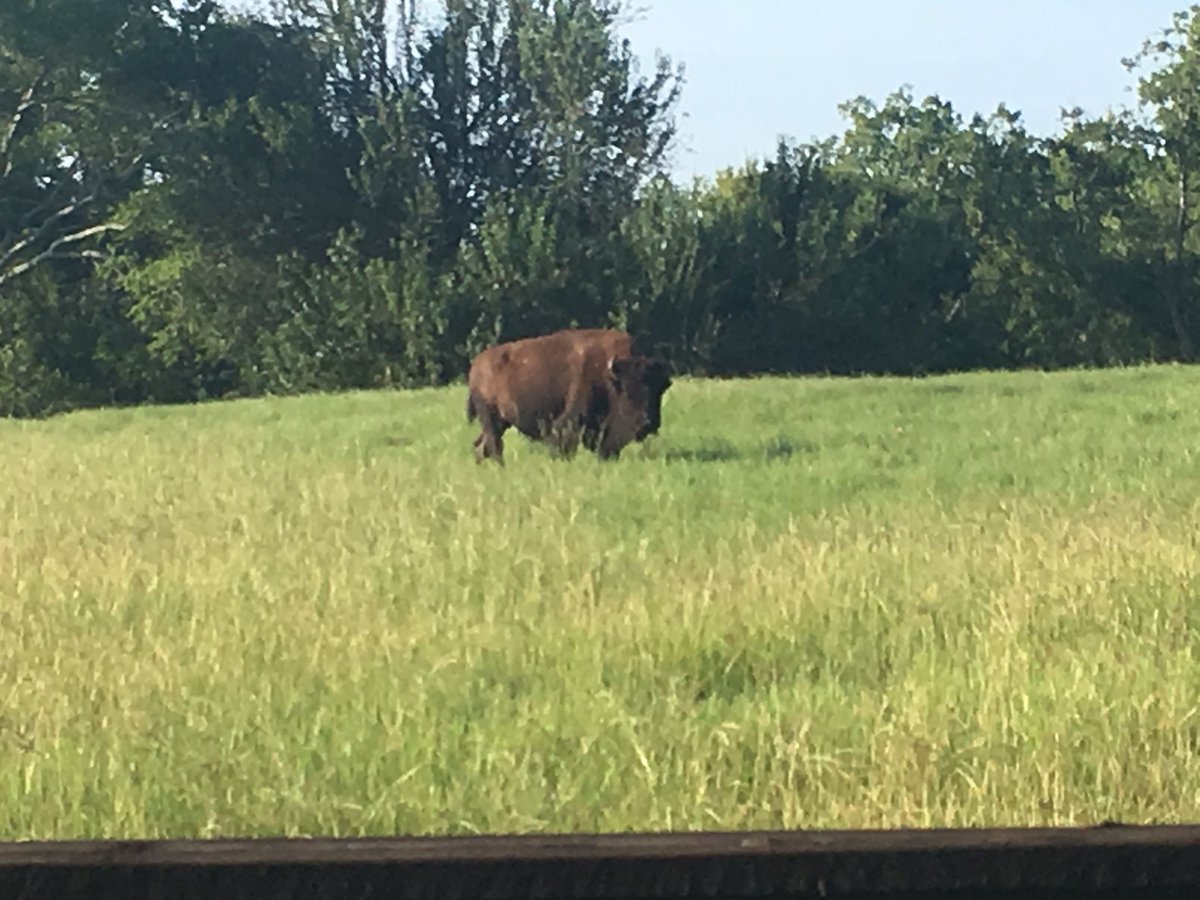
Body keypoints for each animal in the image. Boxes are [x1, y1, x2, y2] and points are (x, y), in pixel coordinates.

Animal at [466, 328, 672, 464]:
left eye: (660, 390)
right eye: (628, 390)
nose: (648, 423)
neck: (609, 376)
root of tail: (476, 365)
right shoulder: (569, 422)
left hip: (502, 422)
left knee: (481, 445)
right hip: (490, 418)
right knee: (494, 446)